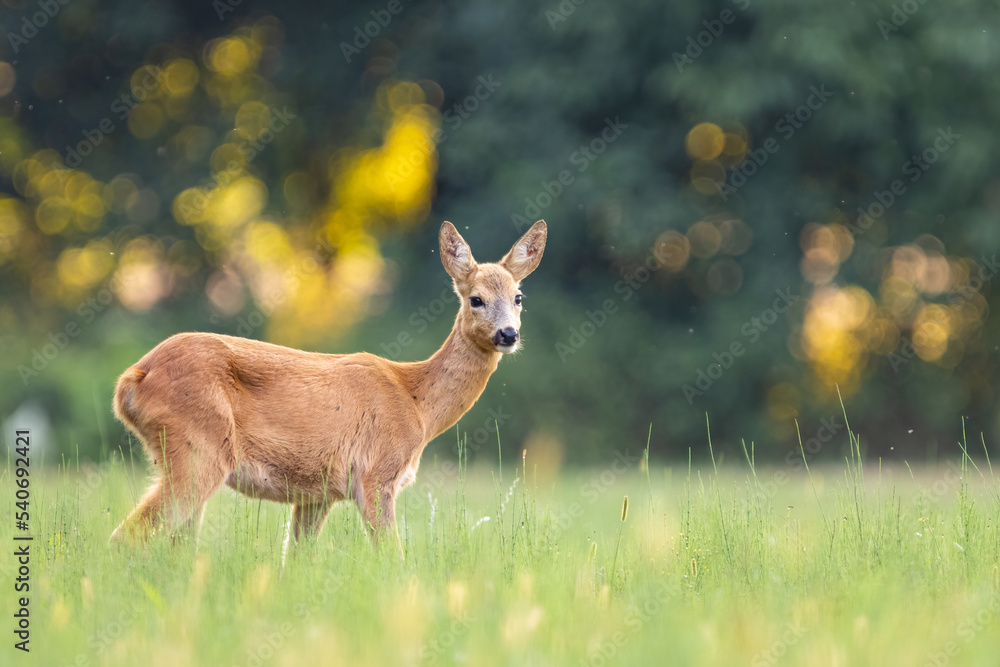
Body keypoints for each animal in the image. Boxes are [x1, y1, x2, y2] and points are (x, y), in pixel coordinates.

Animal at [109, 220, 547, 556]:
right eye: (476, 299)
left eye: (518, 297)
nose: (508, 334)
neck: (417, 403)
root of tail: (131, 379)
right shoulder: (376, 475)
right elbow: (394, 558)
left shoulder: (317, 493)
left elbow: (294, 560)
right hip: (198, 447)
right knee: (126, 536)